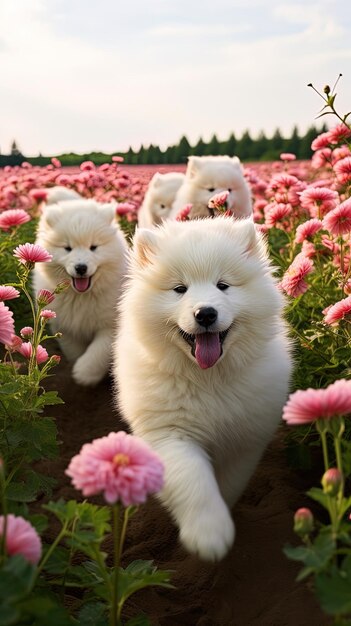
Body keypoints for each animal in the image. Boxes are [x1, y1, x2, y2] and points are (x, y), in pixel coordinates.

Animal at [33, 197, 129, 382]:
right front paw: (77, 364)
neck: (81, 296)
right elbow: (73, 349)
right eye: (67, 248)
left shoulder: (110, 324)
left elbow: (99, 350)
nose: (81, 267)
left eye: (93, 247)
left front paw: (84, 372)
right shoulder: (65, 324)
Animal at [114, 216, 292, 560]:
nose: (206, 312)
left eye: (223, 285)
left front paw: (224, 516)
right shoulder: (170, 434)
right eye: (179, 289)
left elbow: (230, 482)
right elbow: (193, 480)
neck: (208, 379)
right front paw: (209, 533)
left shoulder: (245, 438)